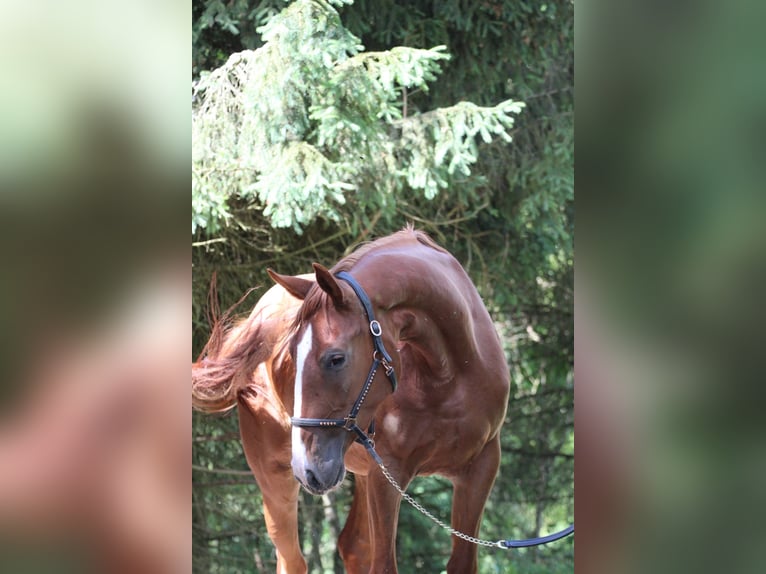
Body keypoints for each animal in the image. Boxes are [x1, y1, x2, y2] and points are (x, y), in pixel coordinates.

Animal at [195, 227, 512, 572]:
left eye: (336, 359)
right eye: (290, 356)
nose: (308, 469)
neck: (449, 373)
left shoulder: (479, 469)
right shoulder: (386, 475)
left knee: (353, 546)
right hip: (275, 474)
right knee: (292, 559)